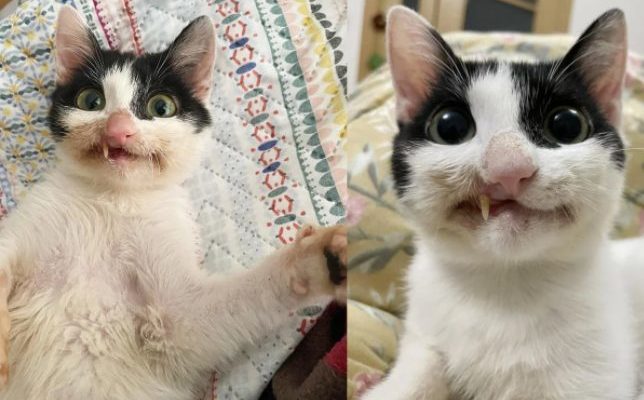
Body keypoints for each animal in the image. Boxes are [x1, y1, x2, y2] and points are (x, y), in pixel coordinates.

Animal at [0, 6, 348, 400]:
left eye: (161, 107)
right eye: (92, 102)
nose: (118, 128)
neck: (112, 200)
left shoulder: (174, 320)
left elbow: (205, 316)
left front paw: (322, 256)